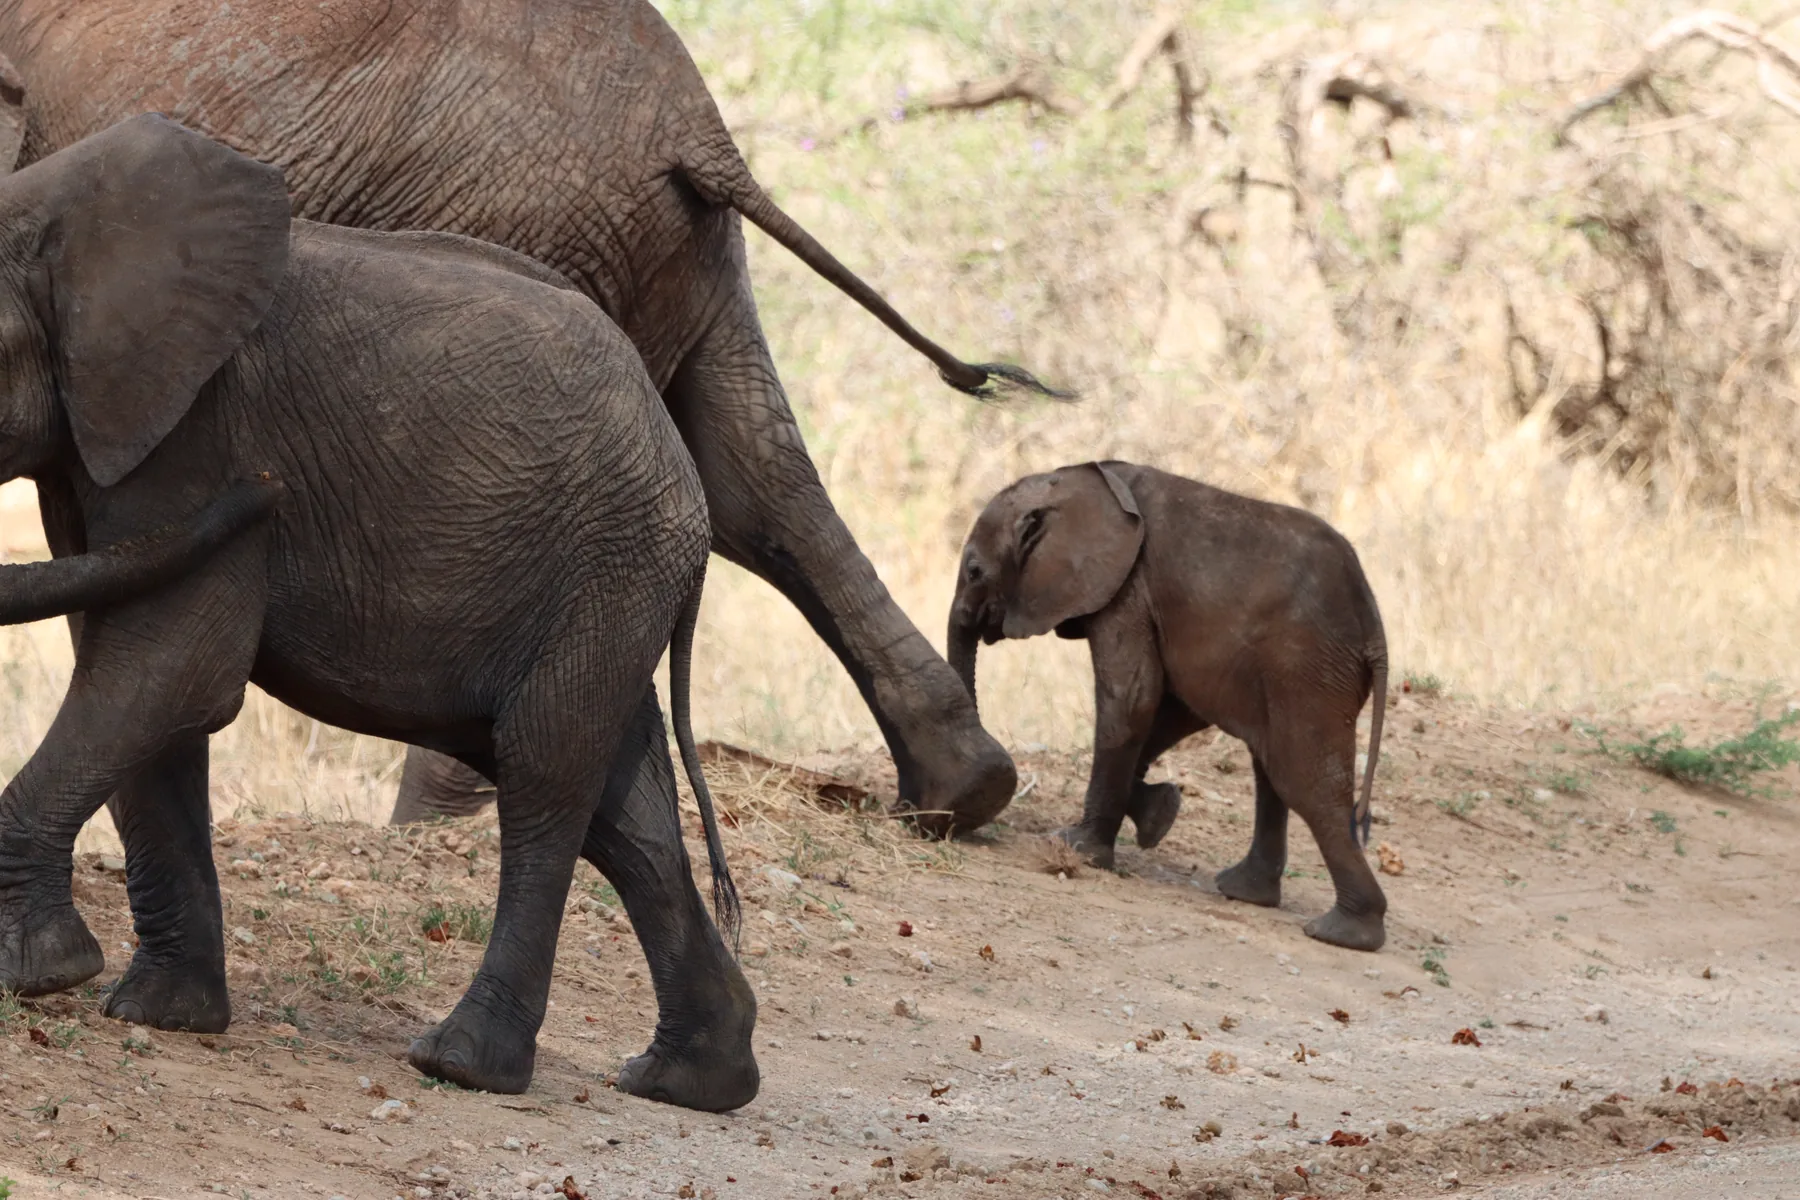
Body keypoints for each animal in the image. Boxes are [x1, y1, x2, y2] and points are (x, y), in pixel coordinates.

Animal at [0, 0, 1056, 843]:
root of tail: (700, 129)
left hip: (516, 216)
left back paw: (435, 828)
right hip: (677, 248)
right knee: (757, 482)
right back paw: (964, 794)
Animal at [0, 115, 757, 1109]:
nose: (270, 489)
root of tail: (684, 473)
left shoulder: (197, 430)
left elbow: (173, 666)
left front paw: (37, 975)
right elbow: (140, 677)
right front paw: (161, 1015)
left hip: (611, 559)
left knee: (546, 773)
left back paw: (462, 1065)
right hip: (609, 581)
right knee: (623, 811)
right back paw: (689, 1080)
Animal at [948, 462, 1391, 951]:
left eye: (974, 570)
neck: (1081, 479)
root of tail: (1374, 626)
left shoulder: (1127, 590)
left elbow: (1131, 699)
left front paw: (1076, 846)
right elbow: (1171, 708)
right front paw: (1159, 815)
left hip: (1307, 667)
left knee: (1306, 782)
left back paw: (1342, 934)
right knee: (1271, 768)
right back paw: (1244, 892)